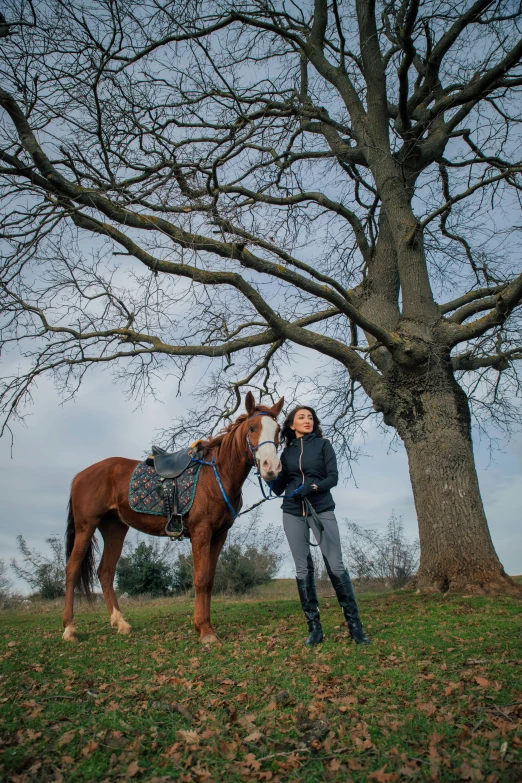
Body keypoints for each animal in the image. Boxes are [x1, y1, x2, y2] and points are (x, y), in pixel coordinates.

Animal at [62, 392, 282, 644]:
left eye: (279, 430)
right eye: (253, 428)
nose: (271, 467)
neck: (216, 474)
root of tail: (79, 476)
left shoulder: (219, 535)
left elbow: (209, 580)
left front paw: (202, 626)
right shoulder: (201, 532)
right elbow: (200, 579)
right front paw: (205, 632)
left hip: (114, 529)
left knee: (105, 572)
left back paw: (121, 623)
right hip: (86, 527)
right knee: (72, 569)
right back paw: (69, 629)